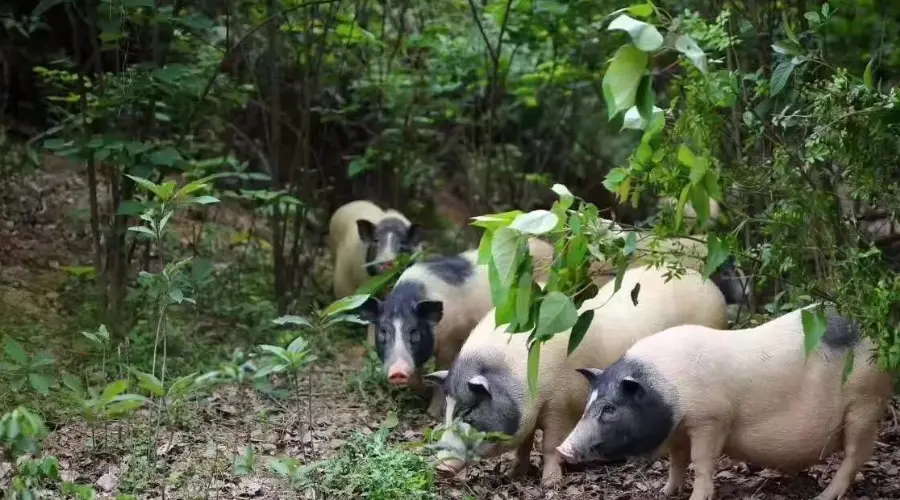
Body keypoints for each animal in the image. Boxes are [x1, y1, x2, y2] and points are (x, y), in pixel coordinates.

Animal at [422, 266, 732, 488]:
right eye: (447, 413)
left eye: (469, 413)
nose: (440, 467)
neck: (521, 378)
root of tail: (710, 286)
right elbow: (523, 444)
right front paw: (513, 475)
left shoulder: (559, 404)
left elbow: (549, 444)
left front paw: (550, 484)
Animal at [556, 304, 892, 500]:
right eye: (589, 403)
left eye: (609, 408)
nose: (563, 448)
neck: (667, 390)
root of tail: (876, 335)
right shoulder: (678, 429)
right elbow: (677, 462)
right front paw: (666, 492)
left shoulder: (711, 419)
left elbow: (702, 462)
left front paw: (696, 498)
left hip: (865, 403)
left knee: (855, 456)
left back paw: (823, 497)